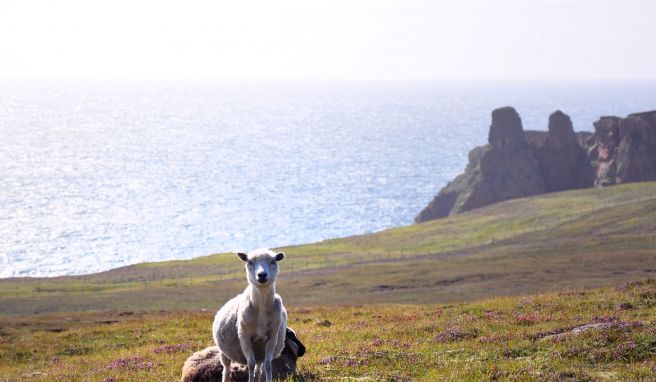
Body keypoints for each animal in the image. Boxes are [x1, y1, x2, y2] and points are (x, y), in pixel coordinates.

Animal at [213, 249, 288, 382]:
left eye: (273, 261)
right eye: (250, 262)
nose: (262, 275)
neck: (261, 307)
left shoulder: (272, 337)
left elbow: (268, 365)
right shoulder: (244, 336)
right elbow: (250, 364)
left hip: (260, 351)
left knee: (259, 368)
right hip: (224, 352)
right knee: (226, 369)